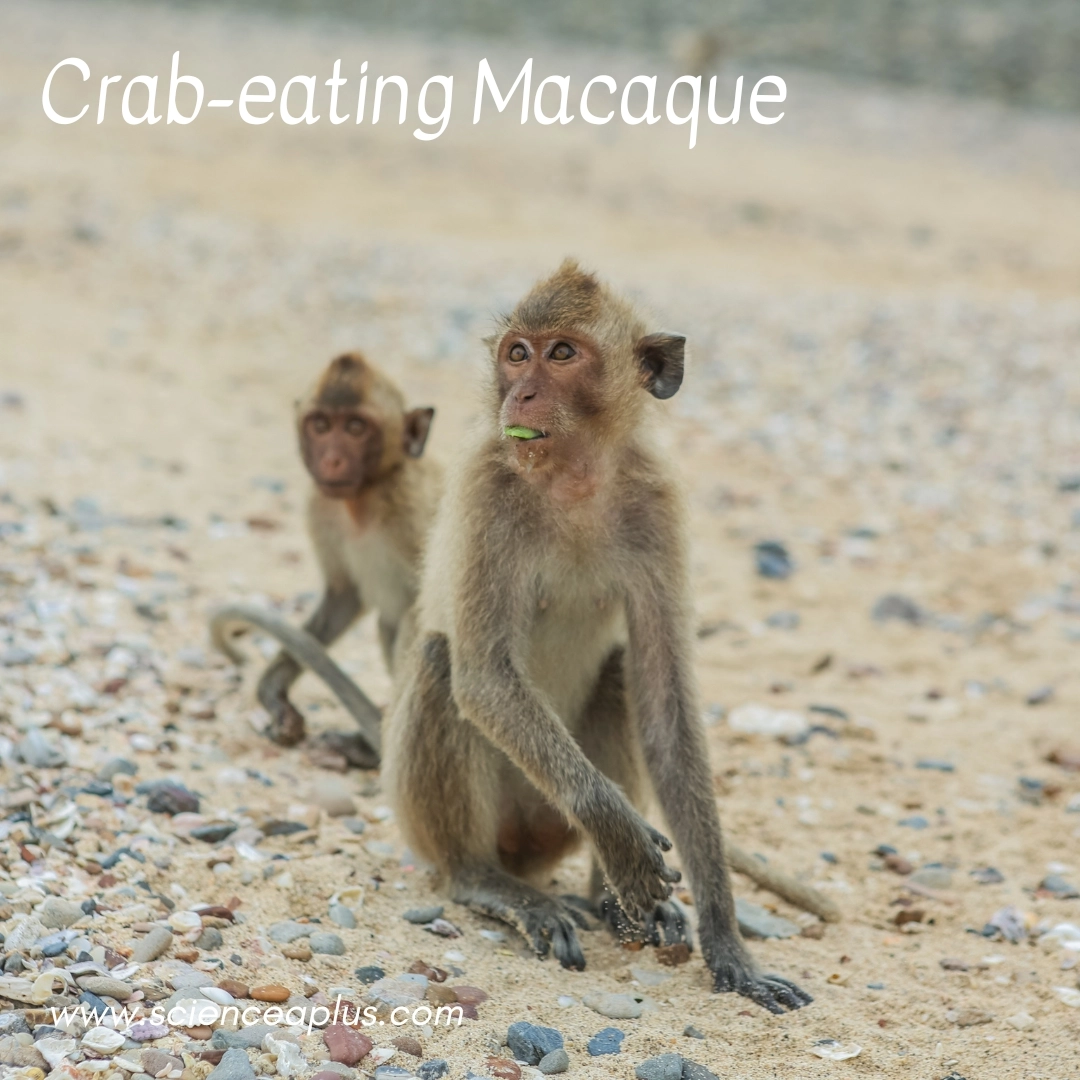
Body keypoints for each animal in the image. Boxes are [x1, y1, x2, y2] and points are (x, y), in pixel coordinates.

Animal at [210, 352, 442, 767]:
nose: (332, 460)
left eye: (355, 428)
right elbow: (342, 597)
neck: (365, 500)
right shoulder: (322, 507)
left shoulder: (414, 509)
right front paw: (275, 695)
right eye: (320, 425)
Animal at [380, 261, 815, 1012]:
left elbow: (667, 706)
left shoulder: (659, 502)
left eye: (562, 354)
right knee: (441, 660)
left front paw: (727, 940)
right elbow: (484, 676)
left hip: (549, 830)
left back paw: (612, 905)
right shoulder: (488, 486)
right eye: (516, 353)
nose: (520, 393)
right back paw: (487, 880)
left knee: (619, 673)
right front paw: (616, 831)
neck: (573, 478)